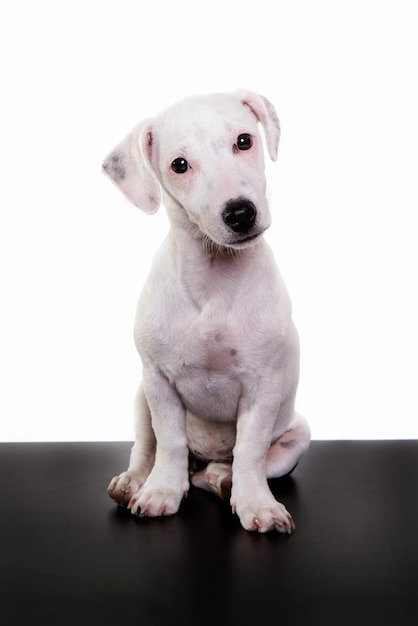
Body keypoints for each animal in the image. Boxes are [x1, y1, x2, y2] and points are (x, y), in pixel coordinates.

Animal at [103, 90, 308, 528]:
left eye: (244, 141)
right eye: (179, 165)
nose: (240, 212)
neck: (214, 279)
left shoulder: (263, 388)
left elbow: (250, 450)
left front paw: (257, 504)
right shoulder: (159, 382)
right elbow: (169, 442)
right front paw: (161, 490)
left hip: (296, 436)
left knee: (229, 467)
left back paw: (222, 478)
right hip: (141, 398)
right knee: (147, 448)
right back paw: (135, 480)